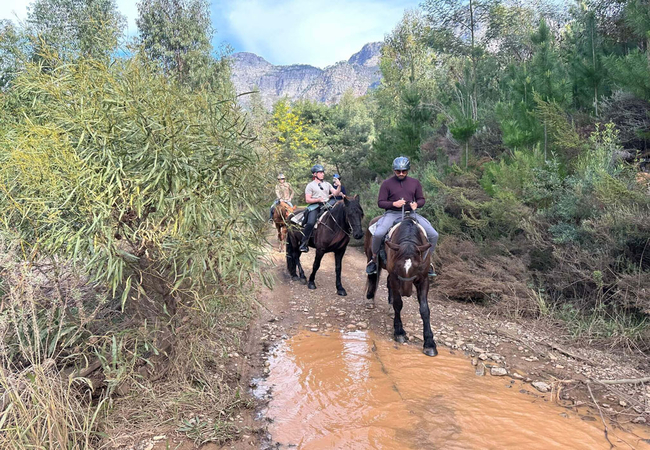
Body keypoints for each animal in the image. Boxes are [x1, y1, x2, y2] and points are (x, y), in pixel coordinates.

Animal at [364, 214, 438, 357]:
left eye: (417, 266)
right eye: (398, 265)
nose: (406, 292)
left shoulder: (423, 279)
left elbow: (425, 309)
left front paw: (429, 343)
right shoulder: (395, 276)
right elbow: (398, 304)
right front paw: (399, 332)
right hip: (370, 255)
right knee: (372, 276)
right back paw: (370, 299)